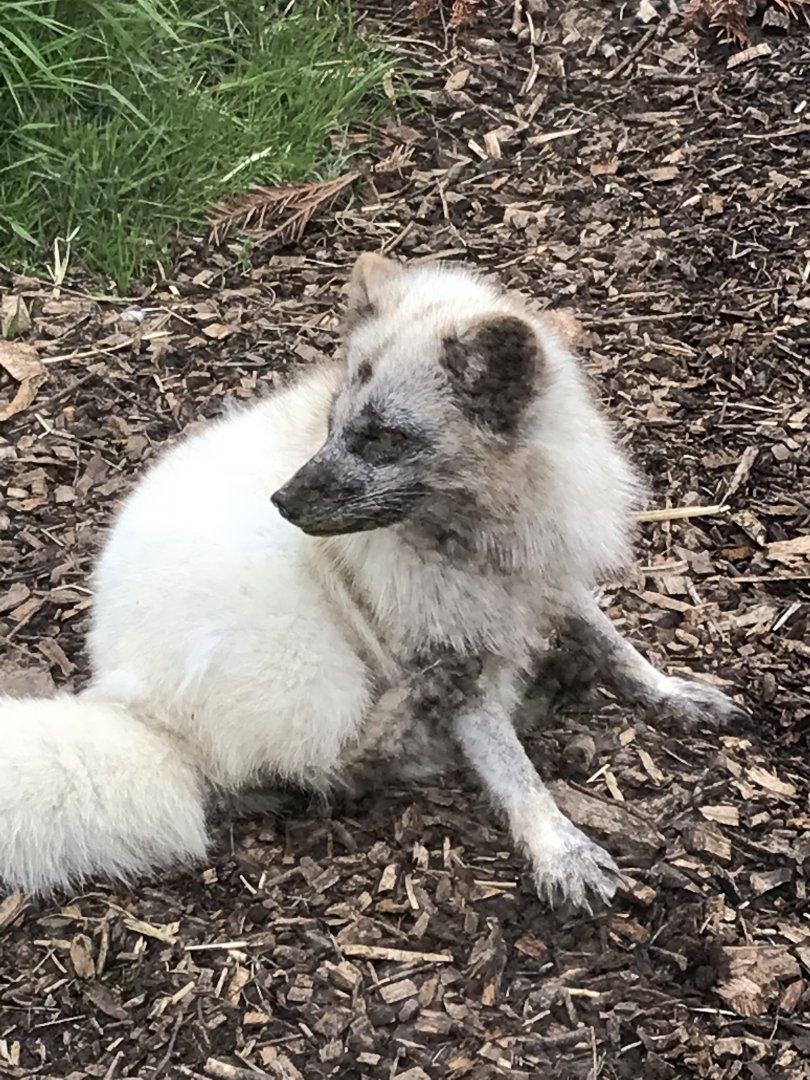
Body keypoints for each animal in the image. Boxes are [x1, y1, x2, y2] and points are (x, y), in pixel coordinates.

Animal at [0, 253, 746, 909]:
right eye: (333, 427)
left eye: (382, 437)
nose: (282, 503)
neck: (483, 531)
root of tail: (134, 710)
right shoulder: (442, 640)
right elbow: (512, 768)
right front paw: (559, 847)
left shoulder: (548, 578)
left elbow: (613, 641)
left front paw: (671, 693)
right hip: (312, 659)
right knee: (333, 770)